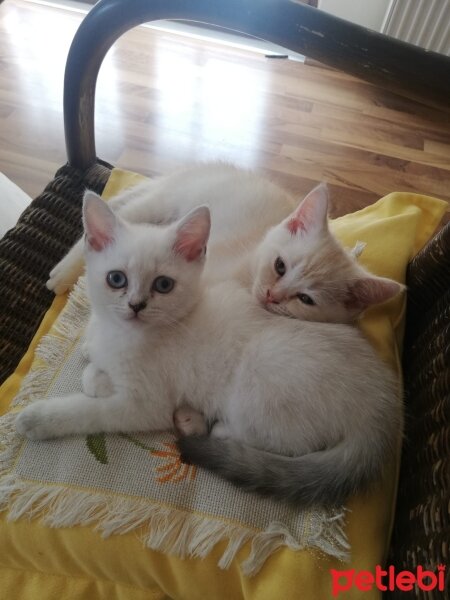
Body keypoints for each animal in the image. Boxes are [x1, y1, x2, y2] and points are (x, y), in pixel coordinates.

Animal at [15, 195, 400, 504]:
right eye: (116, 279)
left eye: (163, 285)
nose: (136, 306)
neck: (123, 335)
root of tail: (382, 408)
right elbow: (93, 366)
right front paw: (97, 374)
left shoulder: (144, 405)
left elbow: (89, 410)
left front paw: (39, 419)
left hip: (255, 391)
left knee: (282, 442)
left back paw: (205, 427)